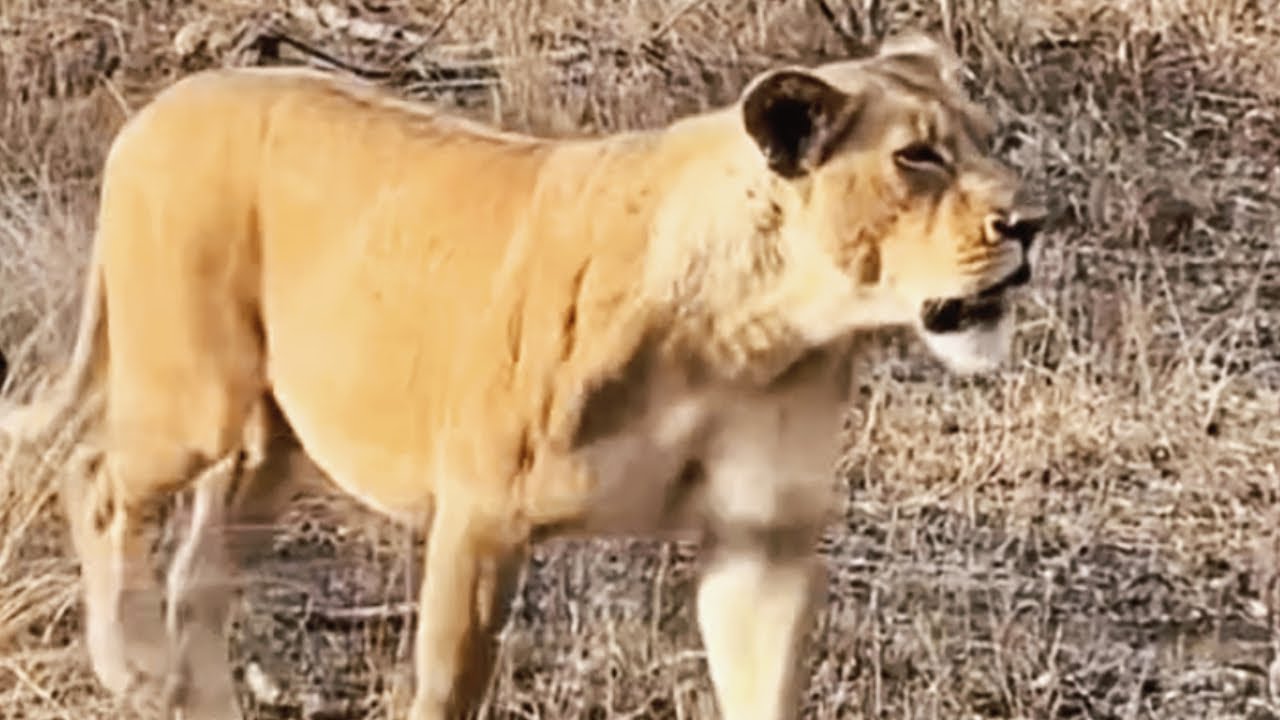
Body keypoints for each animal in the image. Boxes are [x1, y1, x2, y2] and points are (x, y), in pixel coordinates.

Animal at [0, 32, 1044, 720]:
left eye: (993, 138)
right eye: (917, 156)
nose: (1033, 223)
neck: (761, 332)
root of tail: (157, 108)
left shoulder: (762, 541)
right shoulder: (483, 513)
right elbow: (447, 686)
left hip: (274, 438)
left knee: (201, 573)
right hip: (196, 396)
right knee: (94, 478)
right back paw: (127, 667)